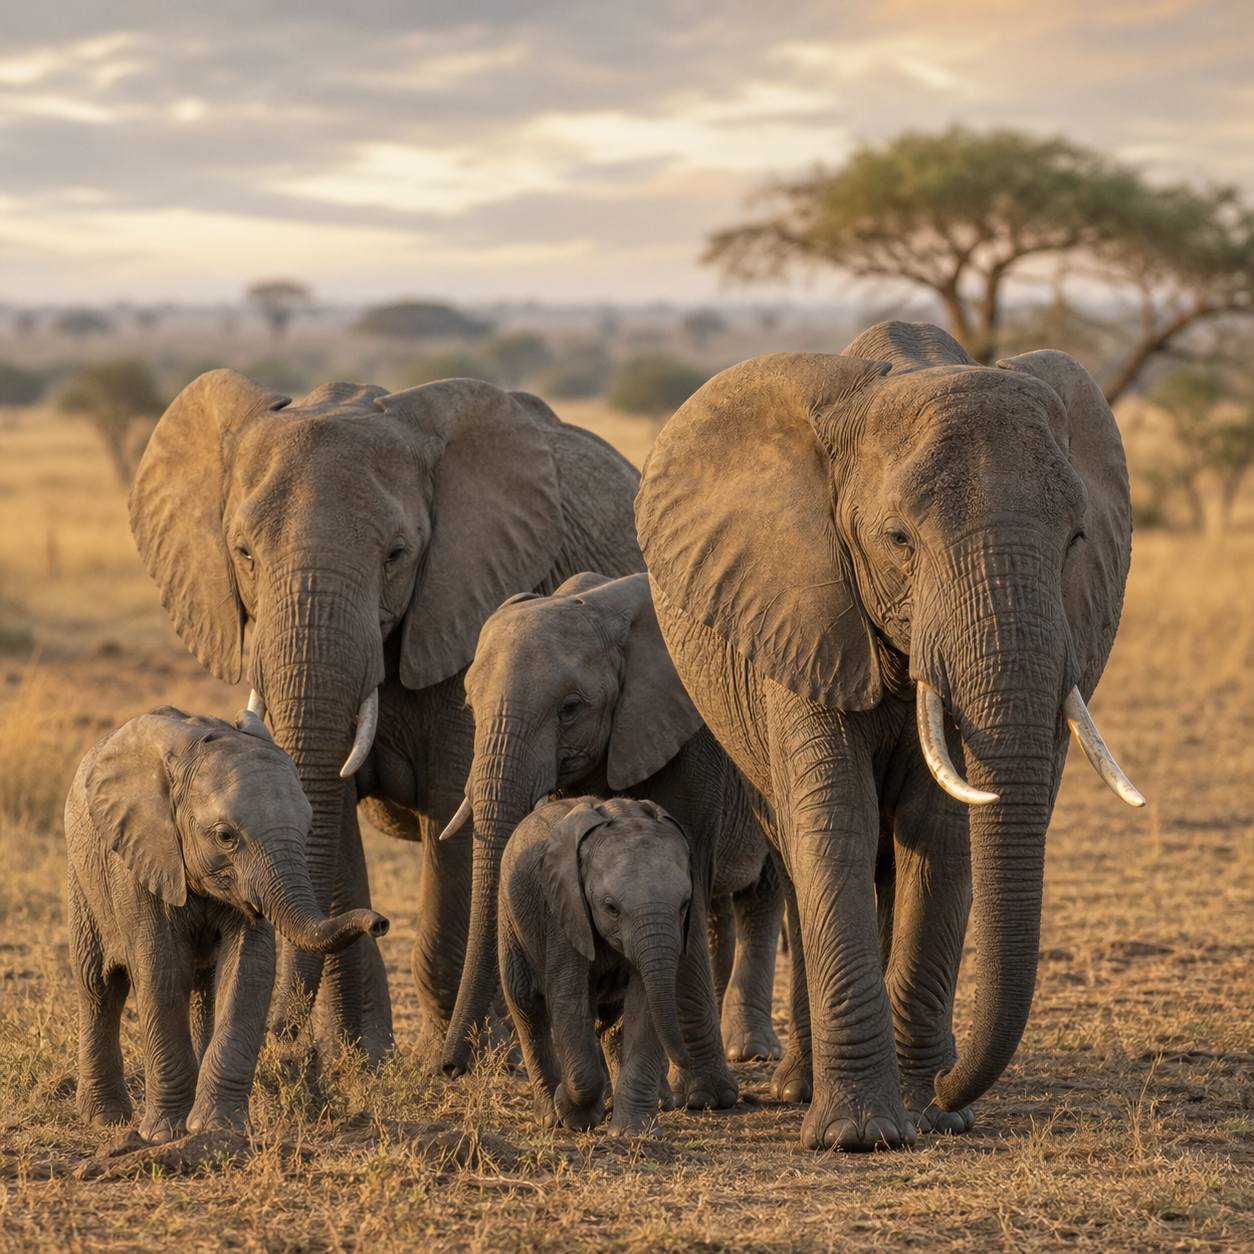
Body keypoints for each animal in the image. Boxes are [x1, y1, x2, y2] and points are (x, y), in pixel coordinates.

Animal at [65, 706, 388, 1143]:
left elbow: (248, 970)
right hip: (82, 876)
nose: (379, 922)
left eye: (307, 830)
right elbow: (161, 970)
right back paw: (106, 1119)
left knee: (204, 990)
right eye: (225, 836)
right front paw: (166, 1134)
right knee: (100, 987)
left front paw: (218, 1129)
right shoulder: (140, 858)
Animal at [129, 372, 644, 1062]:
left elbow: (457, 804)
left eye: (397, 554)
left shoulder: (465, 605)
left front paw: (468, 1056)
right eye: (242, 552)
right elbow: (330, 802)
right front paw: (359, 1057)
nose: (280, 1041)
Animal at [499, 796, 696, 1136]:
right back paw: (549, 1116)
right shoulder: (563, 911)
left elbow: (645, 1005)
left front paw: (633, 1133)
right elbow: (569, 999)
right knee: (525, 1004)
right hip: (509, 914)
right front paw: (572, 1114)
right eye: (611, 907)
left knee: (613, 1024)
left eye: (685, 905)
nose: (686, 1063)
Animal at [634, 320, 1145, 1151]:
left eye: (1075, 540)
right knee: (797, 854)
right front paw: (862, 1135)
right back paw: (801, 1090)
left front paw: (929, 1111)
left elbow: (939, 832)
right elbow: (833, 821)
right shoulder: (800, 609)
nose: (947, 1094)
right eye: (899, 540)